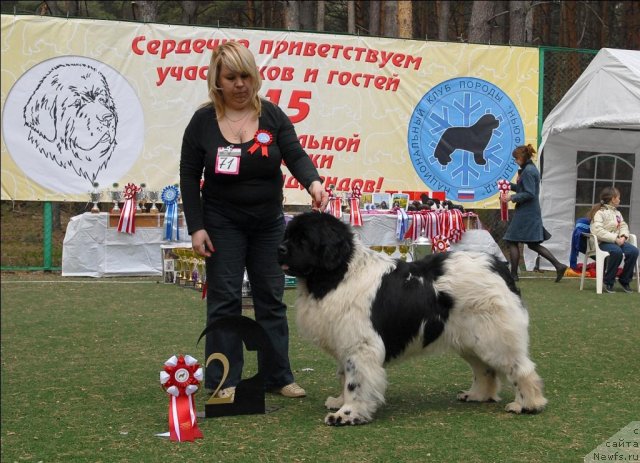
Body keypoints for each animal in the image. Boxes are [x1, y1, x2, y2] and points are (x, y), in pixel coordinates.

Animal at [278, 212, 548, 426]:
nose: (279, 249)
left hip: (495, 338)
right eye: (287, 235)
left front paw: (348, 414)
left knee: (521, 369)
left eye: (303, 239)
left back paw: (527, 404)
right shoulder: (346, 342)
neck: (339, 273)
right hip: (472, 339)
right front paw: (339, 401)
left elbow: (355, 381)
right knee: (485, 369)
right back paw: (478, 395)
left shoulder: (361, 346)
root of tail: (499, 267)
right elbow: (344, 376)